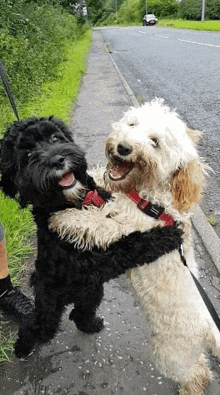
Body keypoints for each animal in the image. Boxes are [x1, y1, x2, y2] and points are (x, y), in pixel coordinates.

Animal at [0, 117, 182, 358]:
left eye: (55, 138)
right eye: (27, 154)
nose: (57, 161)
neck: (74, 201)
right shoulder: (93, 263)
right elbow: (129, 246)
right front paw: (167, 235)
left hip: (92, 291)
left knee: (78, 313)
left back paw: (91, 325)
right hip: (51, 308)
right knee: (35, 326)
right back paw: (21, 349)